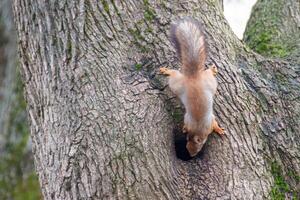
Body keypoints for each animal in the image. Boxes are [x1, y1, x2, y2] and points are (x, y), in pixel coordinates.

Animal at [161, 17, 224, 157]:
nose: (191, 155)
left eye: (198, 148)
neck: (198, 128)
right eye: (187, 145)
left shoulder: (209, 123)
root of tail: (193, 77)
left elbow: (214, 124)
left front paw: (219, 130)